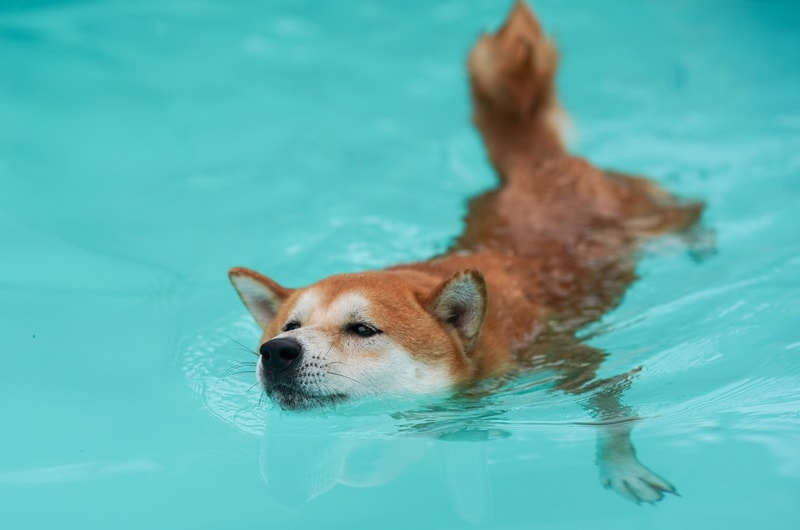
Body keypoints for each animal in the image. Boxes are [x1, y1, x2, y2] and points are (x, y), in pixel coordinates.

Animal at [227, 1, 700, 504]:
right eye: (290, 326)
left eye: (362, 329)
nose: (276, 351)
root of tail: (535, 163)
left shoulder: (567, 360)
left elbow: (610, 407)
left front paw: (622, 463)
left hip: (643, 213)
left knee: (686, 212)